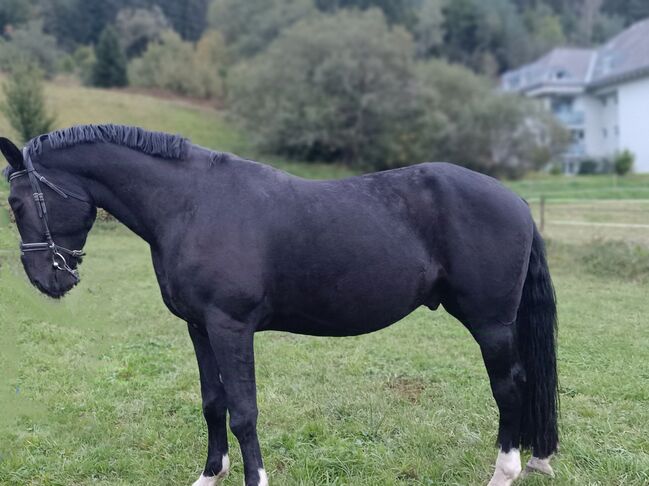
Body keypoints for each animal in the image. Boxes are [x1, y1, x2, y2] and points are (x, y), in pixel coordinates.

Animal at [1, 125, 556, 486]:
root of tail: (516, 201)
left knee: (510, 387)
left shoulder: (231, 327)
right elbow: (213, 403)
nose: (46, 279)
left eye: (17, 202)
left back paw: (506, 471)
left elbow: (244, 412)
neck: (190, 204)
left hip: (491, 323)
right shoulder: (199, 328)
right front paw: (211, 475)